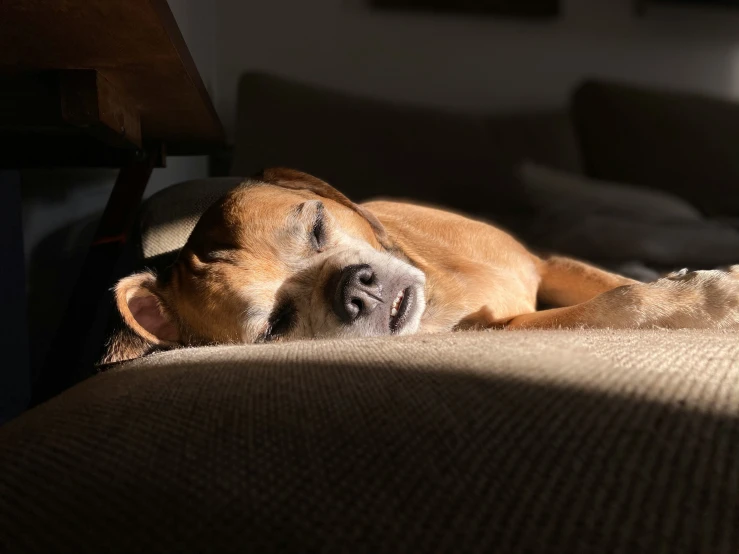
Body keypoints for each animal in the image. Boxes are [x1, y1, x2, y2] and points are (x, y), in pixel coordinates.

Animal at [104, 165, 739, 362]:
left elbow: (613, 280)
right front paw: (710, 300)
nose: (356, 290)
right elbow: (615, 303)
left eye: (316, 226)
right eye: (274, 327)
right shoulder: (508, 327)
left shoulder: (546, 262)